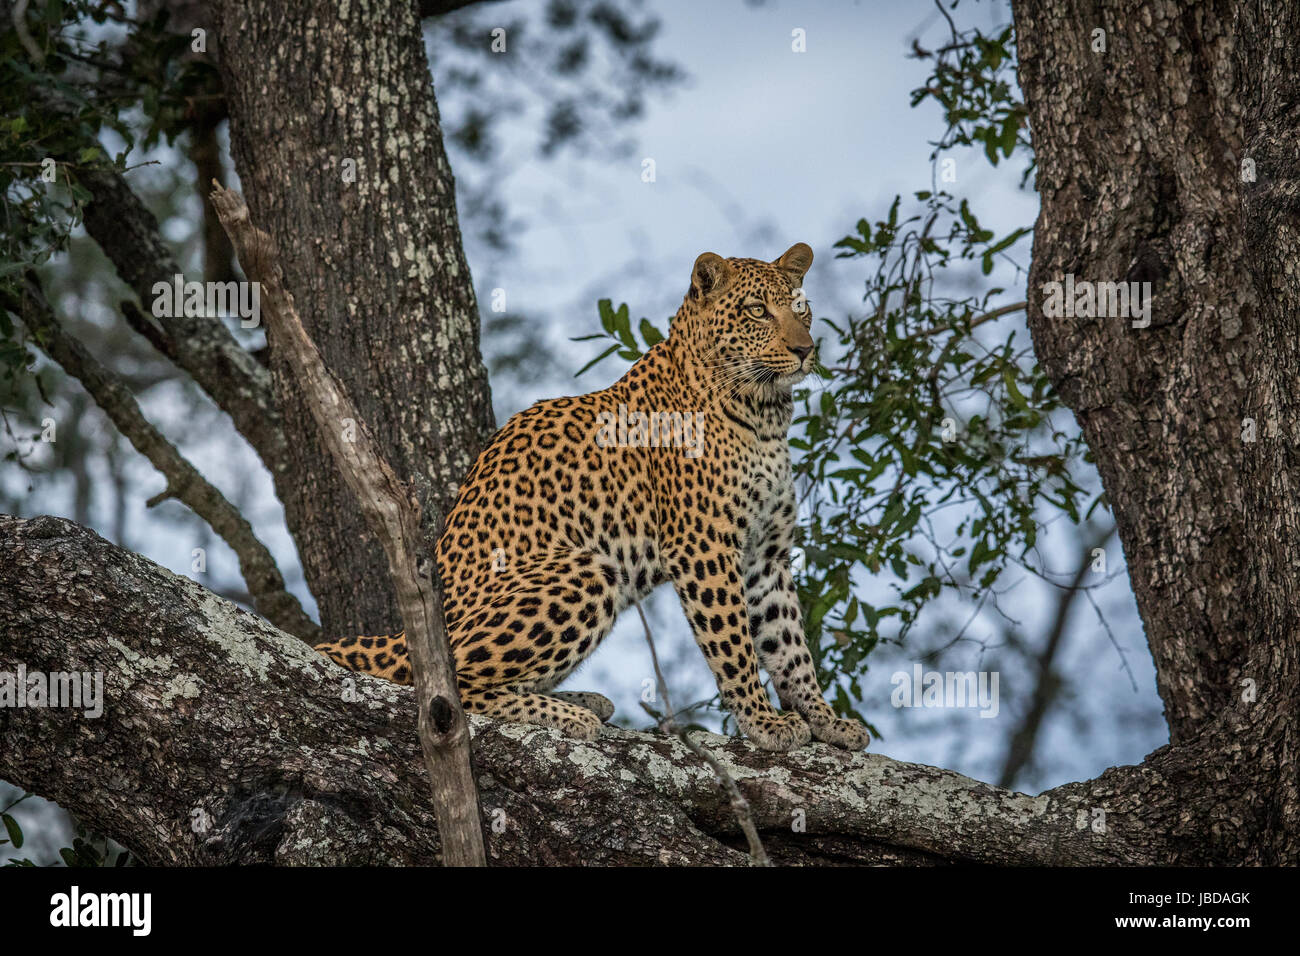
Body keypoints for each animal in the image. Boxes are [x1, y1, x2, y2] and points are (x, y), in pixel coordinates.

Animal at [313, 243, 870, 752]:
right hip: (586, 569)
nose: (806, 349)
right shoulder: (704, 546)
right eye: (757, 310)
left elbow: (789, 643)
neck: (765, 413)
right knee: (445, 690)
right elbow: (733, 641)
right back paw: (565, 714)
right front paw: (763, 721)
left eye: (801, 308)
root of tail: (399, 634)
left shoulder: (765, 554)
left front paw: (828, 721)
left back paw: (582, 701)